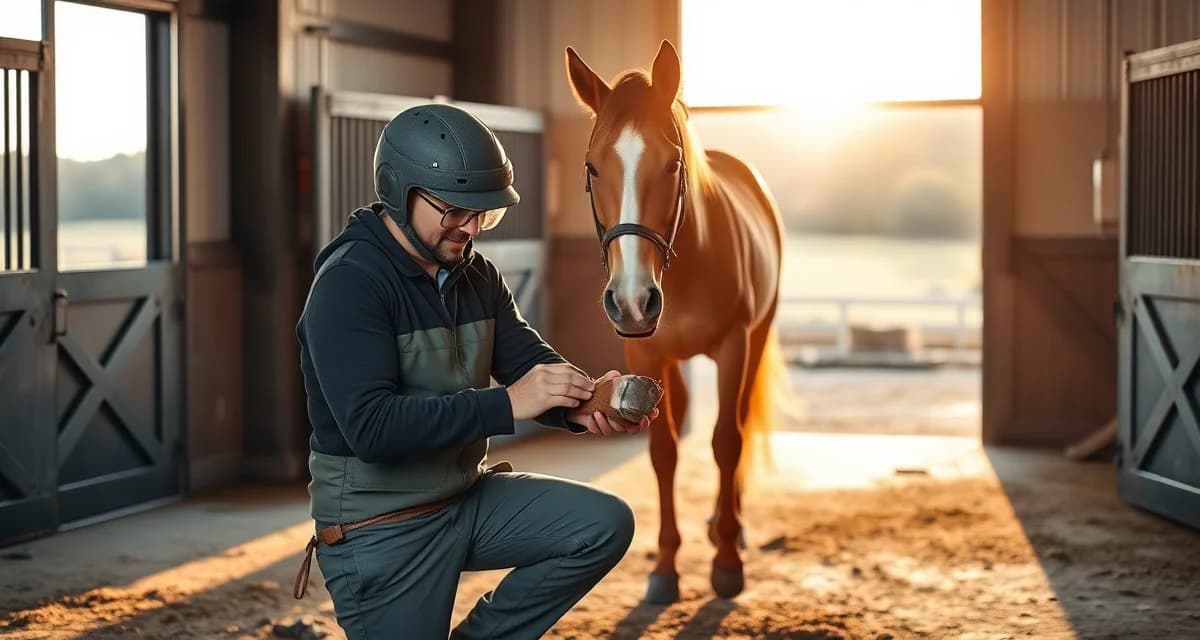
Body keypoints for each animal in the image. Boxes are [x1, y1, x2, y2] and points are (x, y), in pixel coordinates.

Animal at [565, 40, 788, 603]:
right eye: (592, 168)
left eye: (671, 164)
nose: (631, 299)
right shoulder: (644, 352)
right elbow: (663, 450)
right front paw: (665, 568)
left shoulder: (734, 345)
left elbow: (727, 440)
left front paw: (727, 563)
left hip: (757, 339)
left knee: (739, 422)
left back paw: (730, 525)